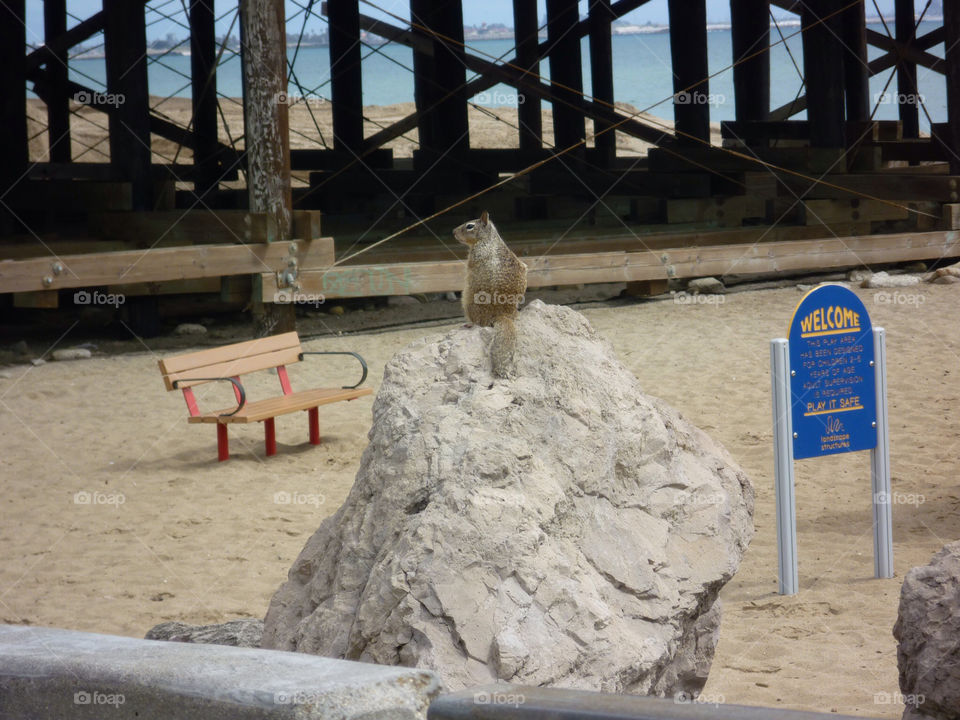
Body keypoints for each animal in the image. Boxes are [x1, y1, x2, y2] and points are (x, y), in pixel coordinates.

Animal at [453, 211, 528, 378]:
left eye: (469, 226)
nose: (453, 232)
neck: (489, 239)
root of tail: (502, 314)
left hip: (466, 299)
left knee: (478, 323)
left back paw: (468, 324)